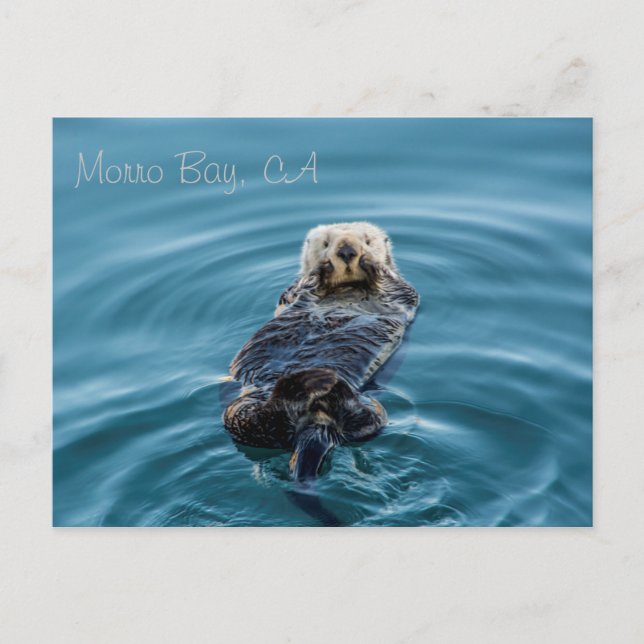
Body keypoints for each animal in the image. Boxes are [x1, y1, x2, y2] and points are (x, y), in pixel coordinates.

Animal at [223, 222, 419, 481]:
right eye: (326, 244)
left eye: (367, 241)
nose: (347, 251)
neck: (346, 288)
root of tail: (316, 419)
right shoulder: (291, 292)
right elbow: (305, 284)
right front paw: (322, 268)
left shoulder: (404, 293)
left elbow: (393, 285)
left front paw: (371, 263)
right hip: (242, 405)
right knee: (259, 423)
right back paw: (308, 383)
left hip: (373, 409)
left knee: (366, 422)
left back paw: (326, 385)